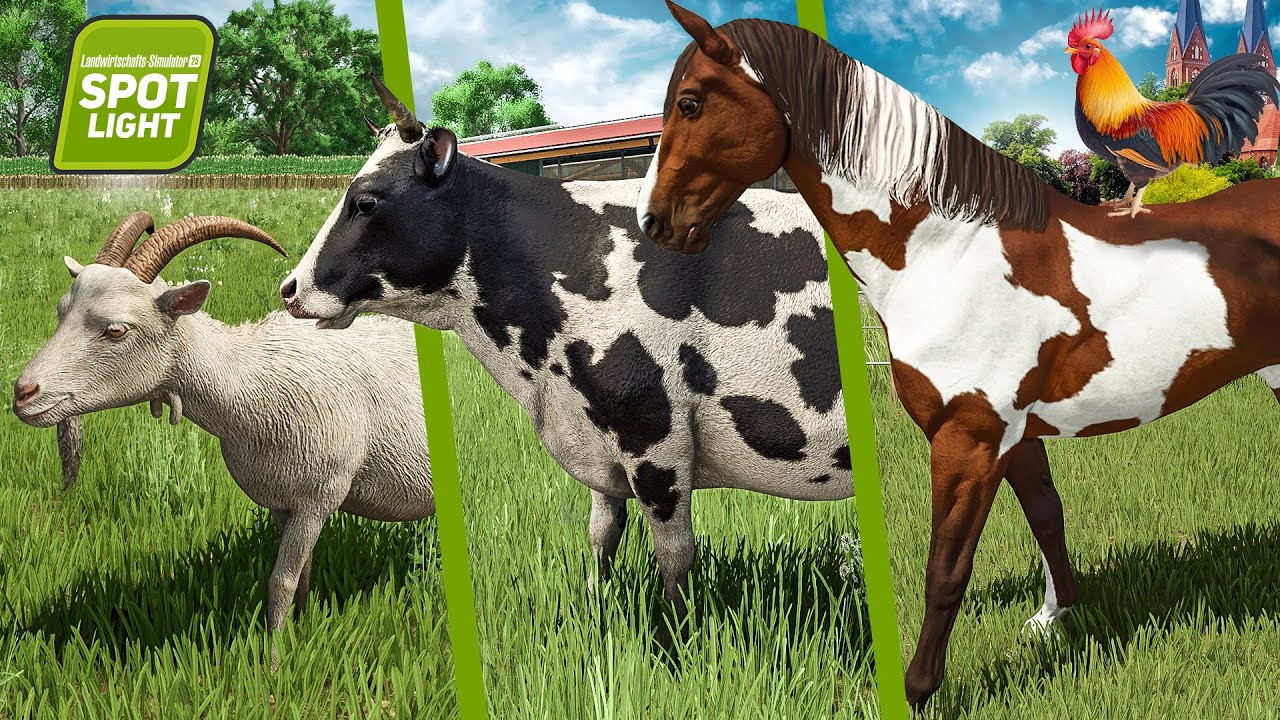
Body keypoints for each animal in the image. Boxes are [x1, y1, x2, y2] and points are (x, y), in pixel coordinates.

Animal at [13, 212, 433, 667]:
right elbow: (302, 572)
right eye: (61, 311)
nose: (22, 393)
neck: (251, 381)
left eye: (117, 330)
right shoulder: (282, 500)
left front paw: (274, 663)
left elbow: (280, 582)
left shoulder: (318, 497)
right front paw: (301, 626)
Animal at [639, 1, 1280, 708]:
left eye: (690, 103)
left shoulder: (968, 439)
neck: (949, 255)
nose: (654, 223)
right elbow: (1048, 518)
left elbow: (945, 570)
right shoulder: (1015, 435)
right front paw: (1053, 619)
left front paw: (917, 691)